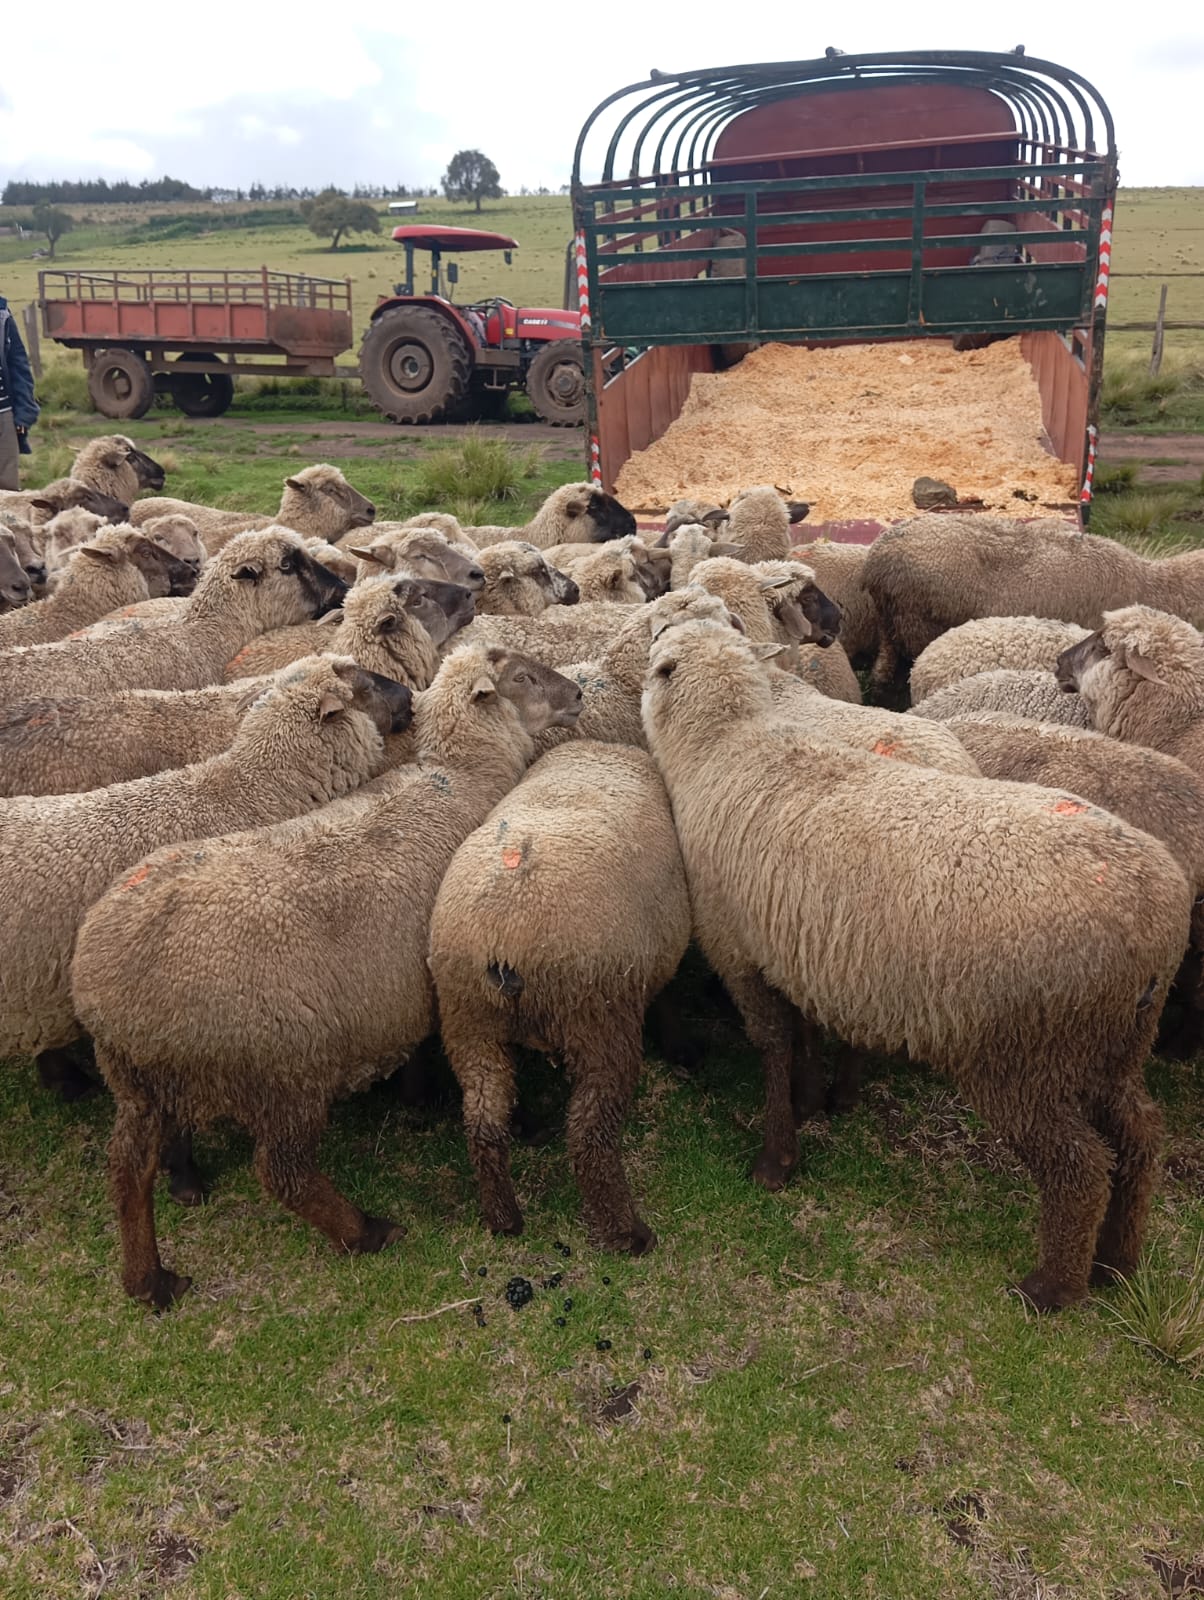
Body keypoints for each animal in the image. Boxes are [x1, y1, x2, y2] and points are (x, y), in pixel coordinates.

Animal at [71, 644, 583, 1307]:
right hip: (284, 1066)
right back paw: (366, 1231)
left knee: (128, 1166)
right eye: (522, 677)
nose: (578, 696)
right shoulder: (464, 992)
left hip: (140, 1081)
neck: (462, 775)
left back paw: (150, 1281)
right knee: (282, 1172)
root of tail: (105, 984)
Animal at [431, 741, 691, 1253]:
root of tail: (503, 938)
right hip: (599, 1017)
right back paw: (627, 1234)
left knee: (483, 1122)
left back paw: (504, 1219)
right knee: (590, 1135)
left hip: (469, 1022)